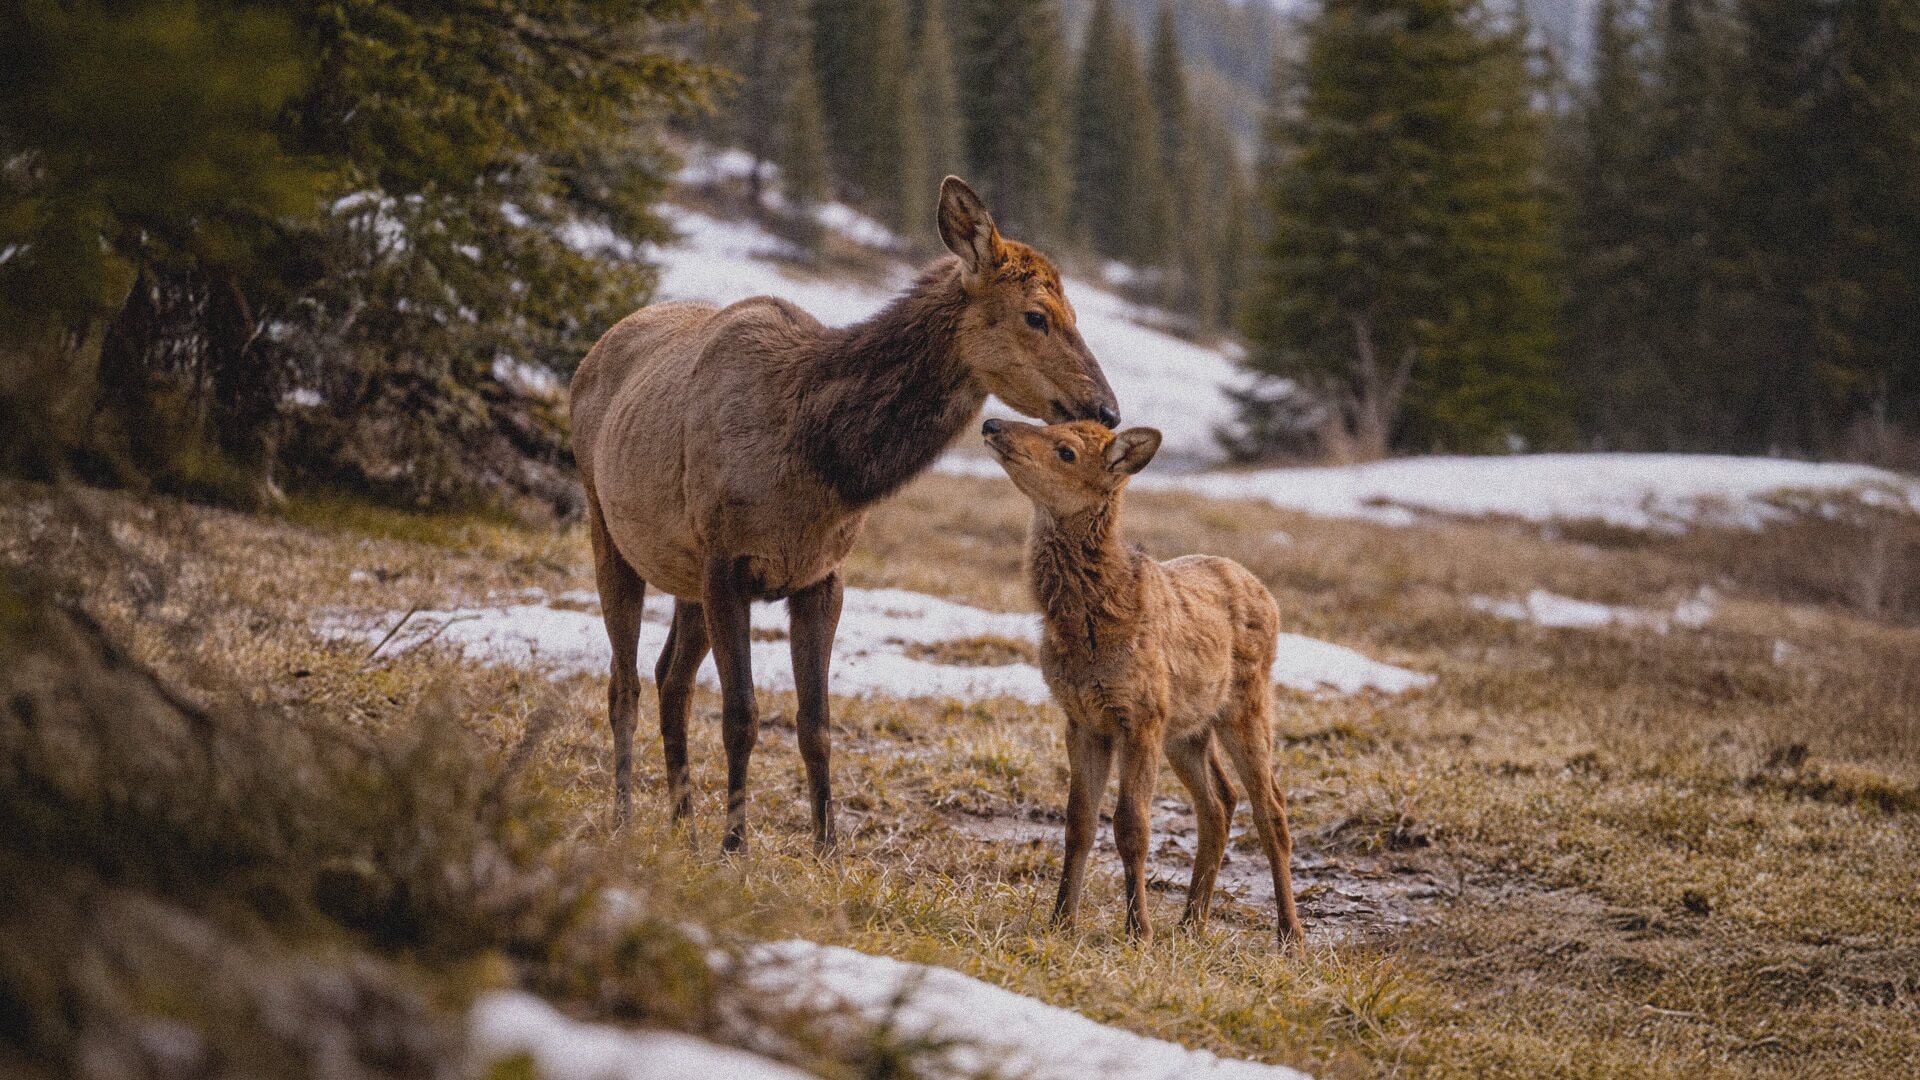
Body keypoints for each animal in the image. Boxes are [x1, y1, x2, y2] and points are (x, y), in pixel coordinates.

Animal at [570, 178, 1119, 853]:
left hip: (684, 572)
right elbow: (743, 716)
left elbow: (817, 724)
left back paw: (684, 826)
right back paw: (625, 818)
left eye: (1076, 314)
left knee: (670, 678)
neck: (820, 458)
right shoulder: (728, 563)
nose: (1107, 408)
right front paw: (735, 848)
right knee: (624, 684)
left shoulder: (821, 575)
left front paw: (826, 847)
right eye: (1036, 315)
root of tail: (590, 356)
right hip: (606, 521)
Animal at [981, 417, 1306, 946]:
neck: (1092, 618)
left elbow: (1132, 827)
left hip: (1247, 704)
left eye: (1066, 451)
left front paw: (1138, 930)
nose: (991, 424)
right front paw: (1061, 920)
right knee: (1219, 802)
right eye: (1054, 423)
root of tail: (1269, 596)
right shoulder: (1082, 719)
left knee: (1271, 808)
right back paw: (1192, 921)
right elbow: (1078, 823)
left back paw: (1290, 935)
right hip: (1188, 729)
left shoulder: (1140, 715)